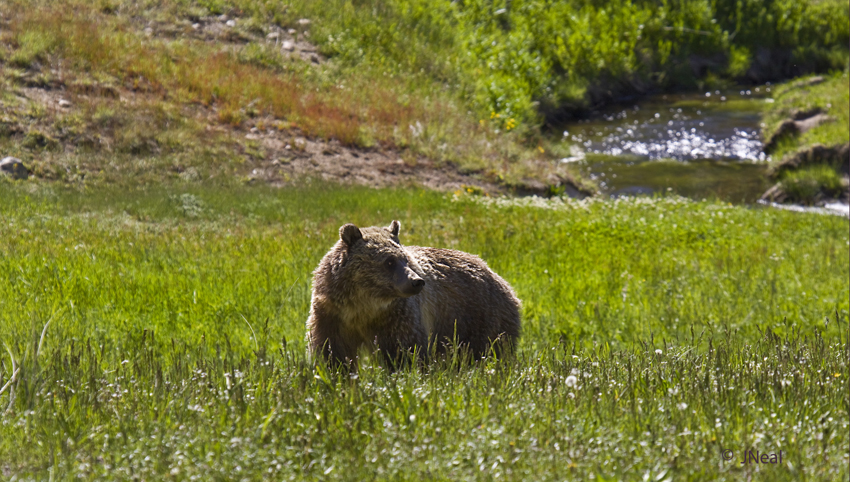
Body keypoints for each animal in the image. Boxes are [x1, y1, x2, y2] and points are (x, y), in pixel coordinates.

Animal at [306, 220, 521, 366]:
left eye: (405, 259)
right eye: (389, 261)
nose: (417, 282)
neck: (365, 305)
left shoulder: (397, 316)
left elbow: (406, 349)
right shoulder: (332, 313)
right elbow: (332, 350)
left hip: (479, 317)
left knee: (491, 350)